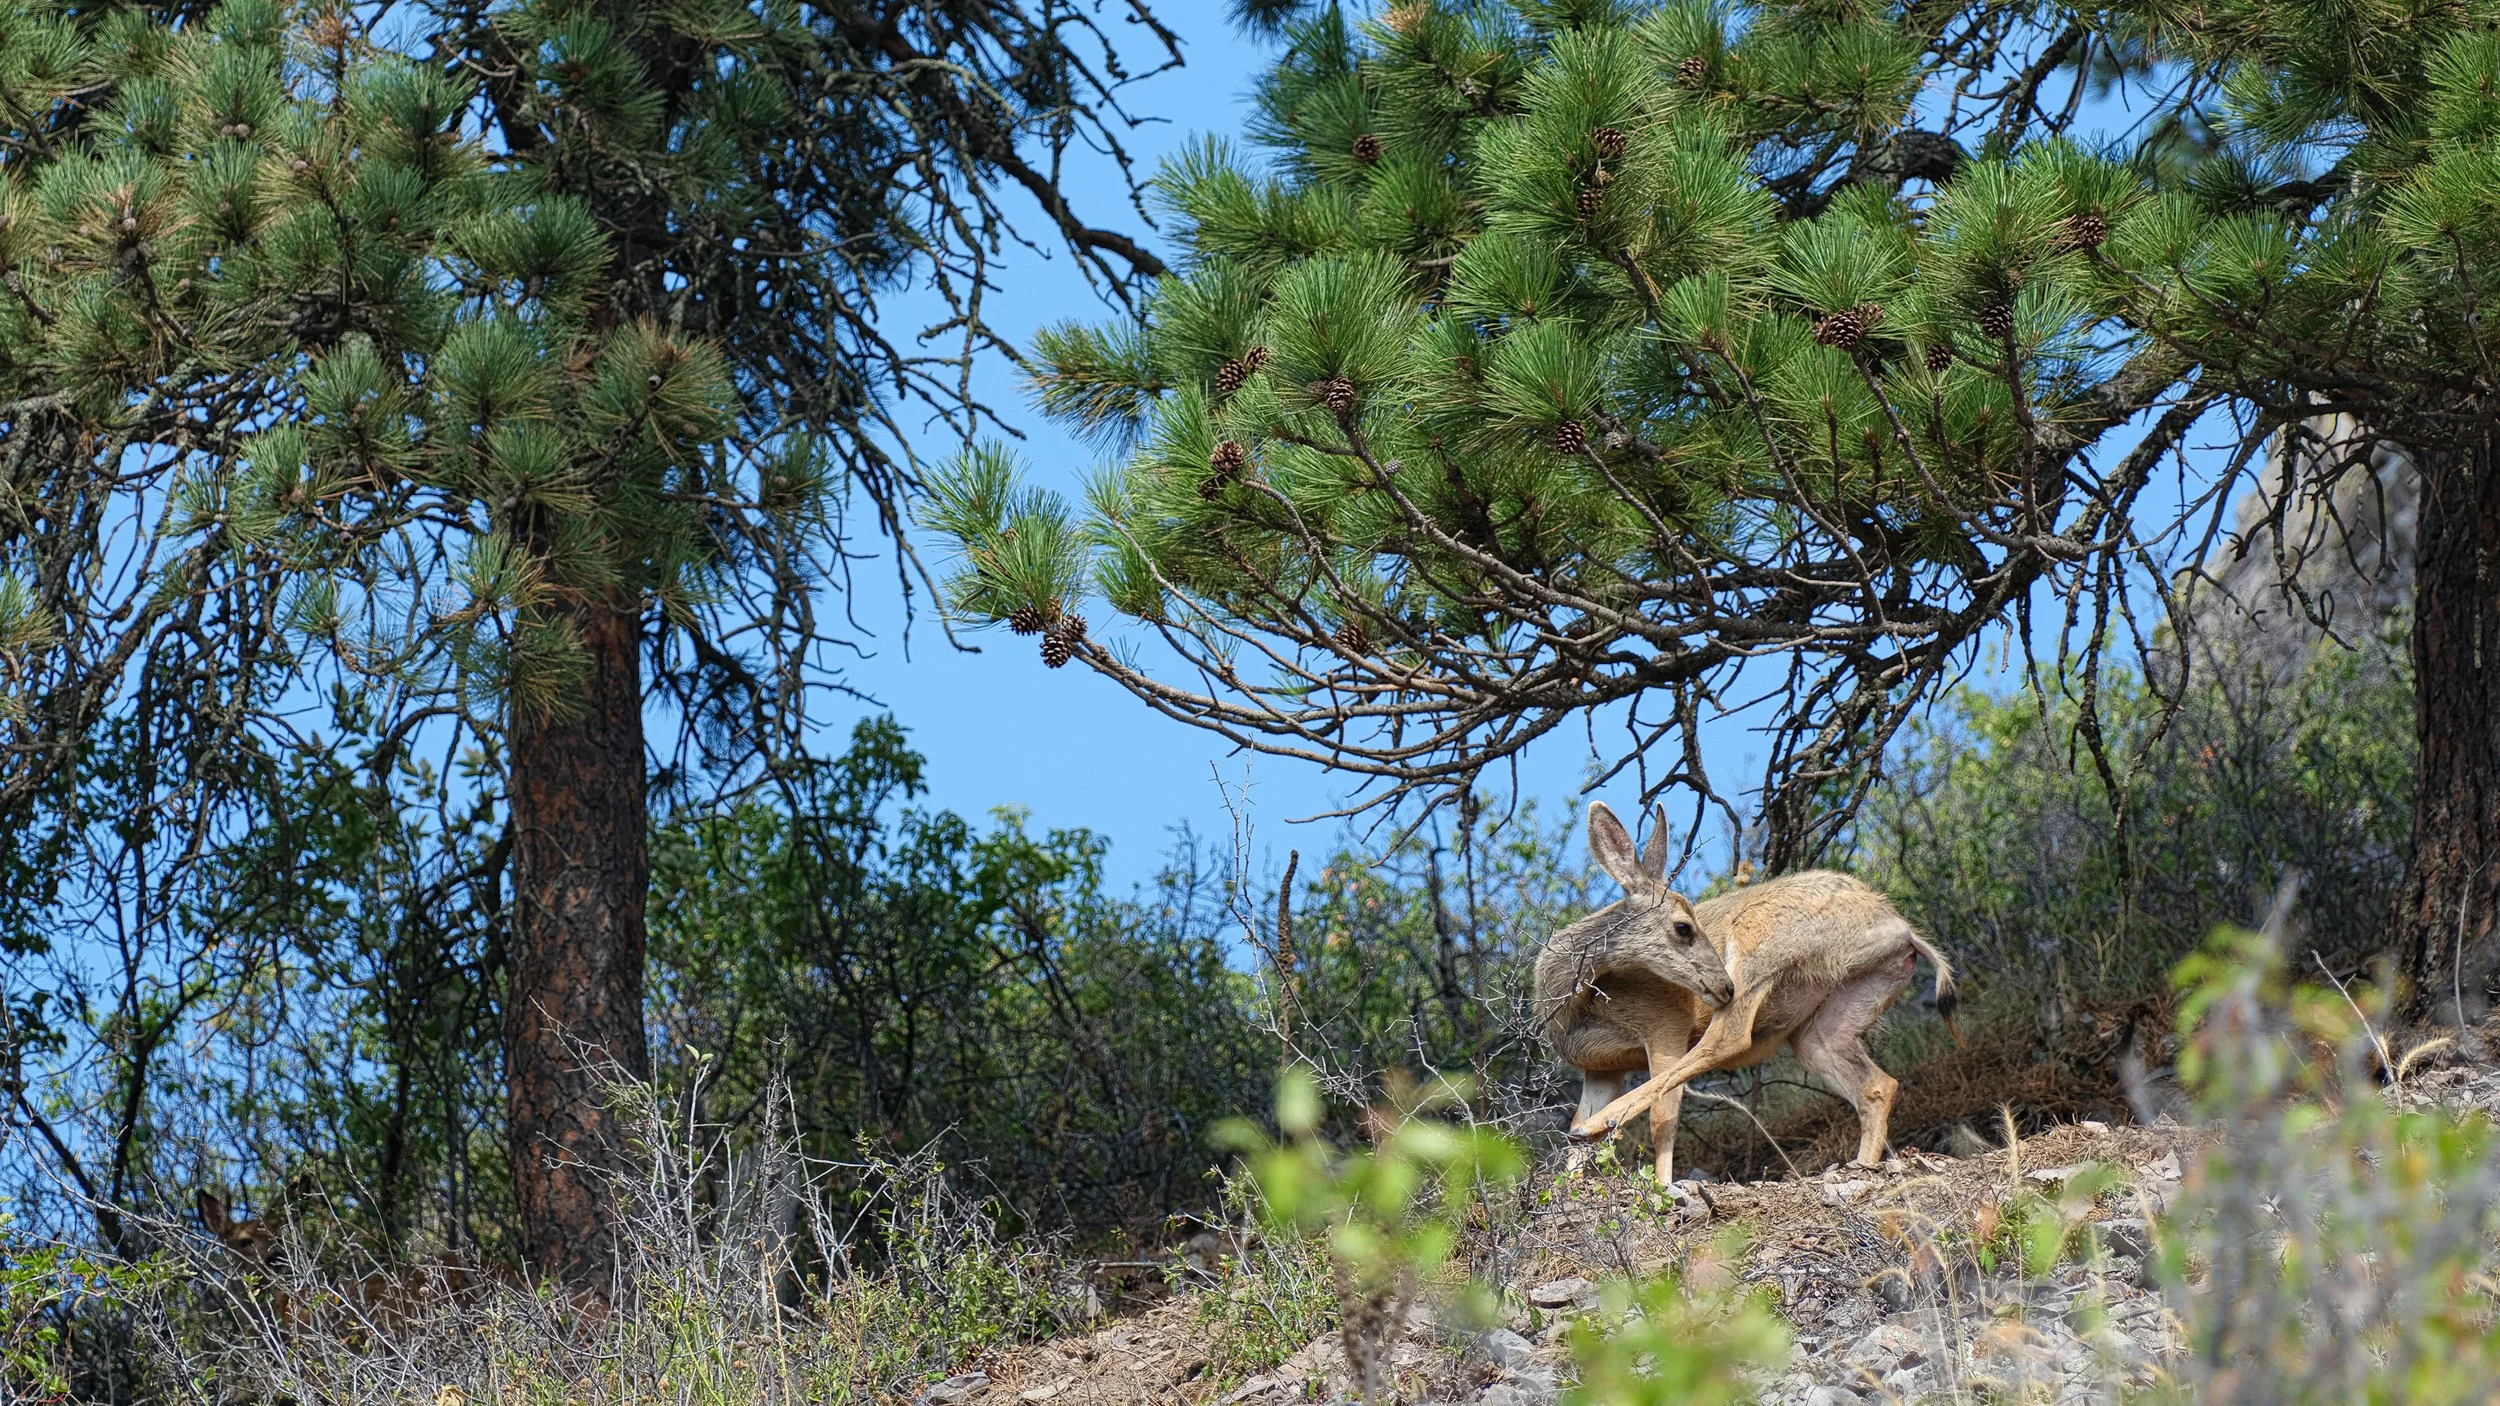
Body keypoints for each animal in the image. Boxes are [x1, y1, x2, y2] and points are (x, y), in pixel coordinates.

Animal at [1537, 802, 1959, 1180]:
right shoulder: (1600, 1067)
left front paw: (1661, 1186)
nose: (1724, 986)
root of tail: (1901, 930)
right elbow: (1576, 1133)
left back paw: (1602, 1124)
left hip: (1759, 943)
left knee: (1728, 1038)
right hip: (1834, 1016)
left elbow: (1663, 1116)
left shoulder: (1664, 1026)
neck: (1577, 1004)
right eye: (1683, 927)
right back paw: (1863, 1163)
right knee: (1877, 1085)